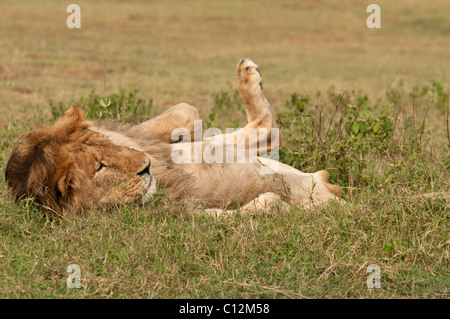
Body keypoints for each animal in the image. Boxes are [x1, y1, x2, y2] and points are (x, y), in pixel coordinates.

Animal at [3, 58, 342, 216]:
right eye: (99, 168)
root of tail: (324, 183)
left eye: (106, 144)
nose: (146, 167)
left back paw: (247, 74)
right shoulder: (179, 215)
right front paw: (276, 204)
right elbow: (261, 206)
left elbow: (186, 111)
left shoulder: (143, 137)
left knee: (265, 131)